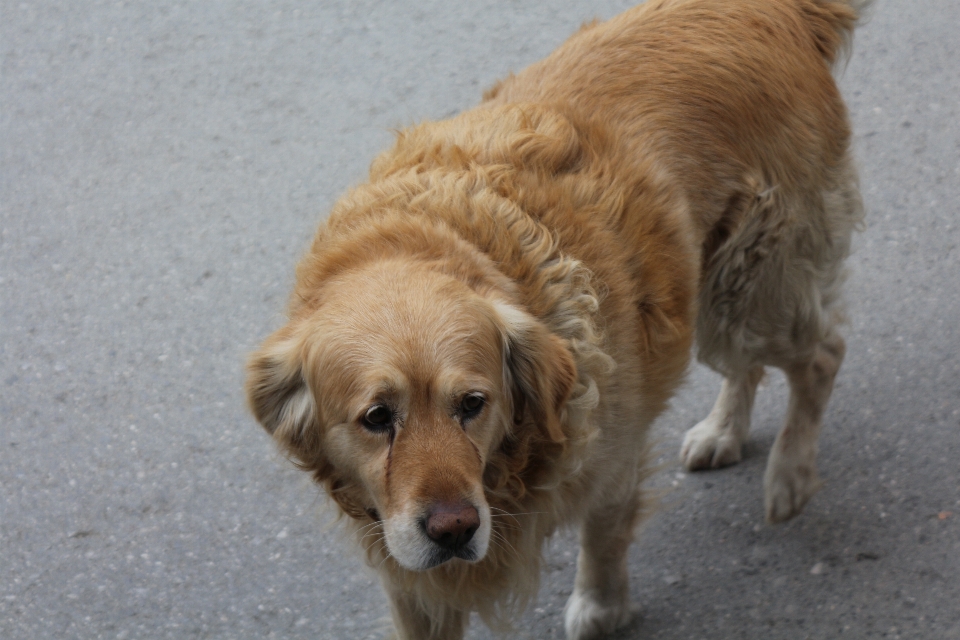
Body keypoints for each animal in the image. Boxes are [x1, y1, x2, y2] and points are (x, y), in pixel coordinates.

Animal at [244, 2, 868, 636]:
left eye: (473, 404)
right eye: (376, 418)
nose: (454, 531)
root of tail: (767, 13)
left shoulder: (612, 460)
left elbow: (604, 536)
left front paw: (600, 605)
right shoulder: (411, 578)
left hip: (747, 296)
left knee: (822, 356)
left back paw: (789, 475)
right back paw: (724, 432)